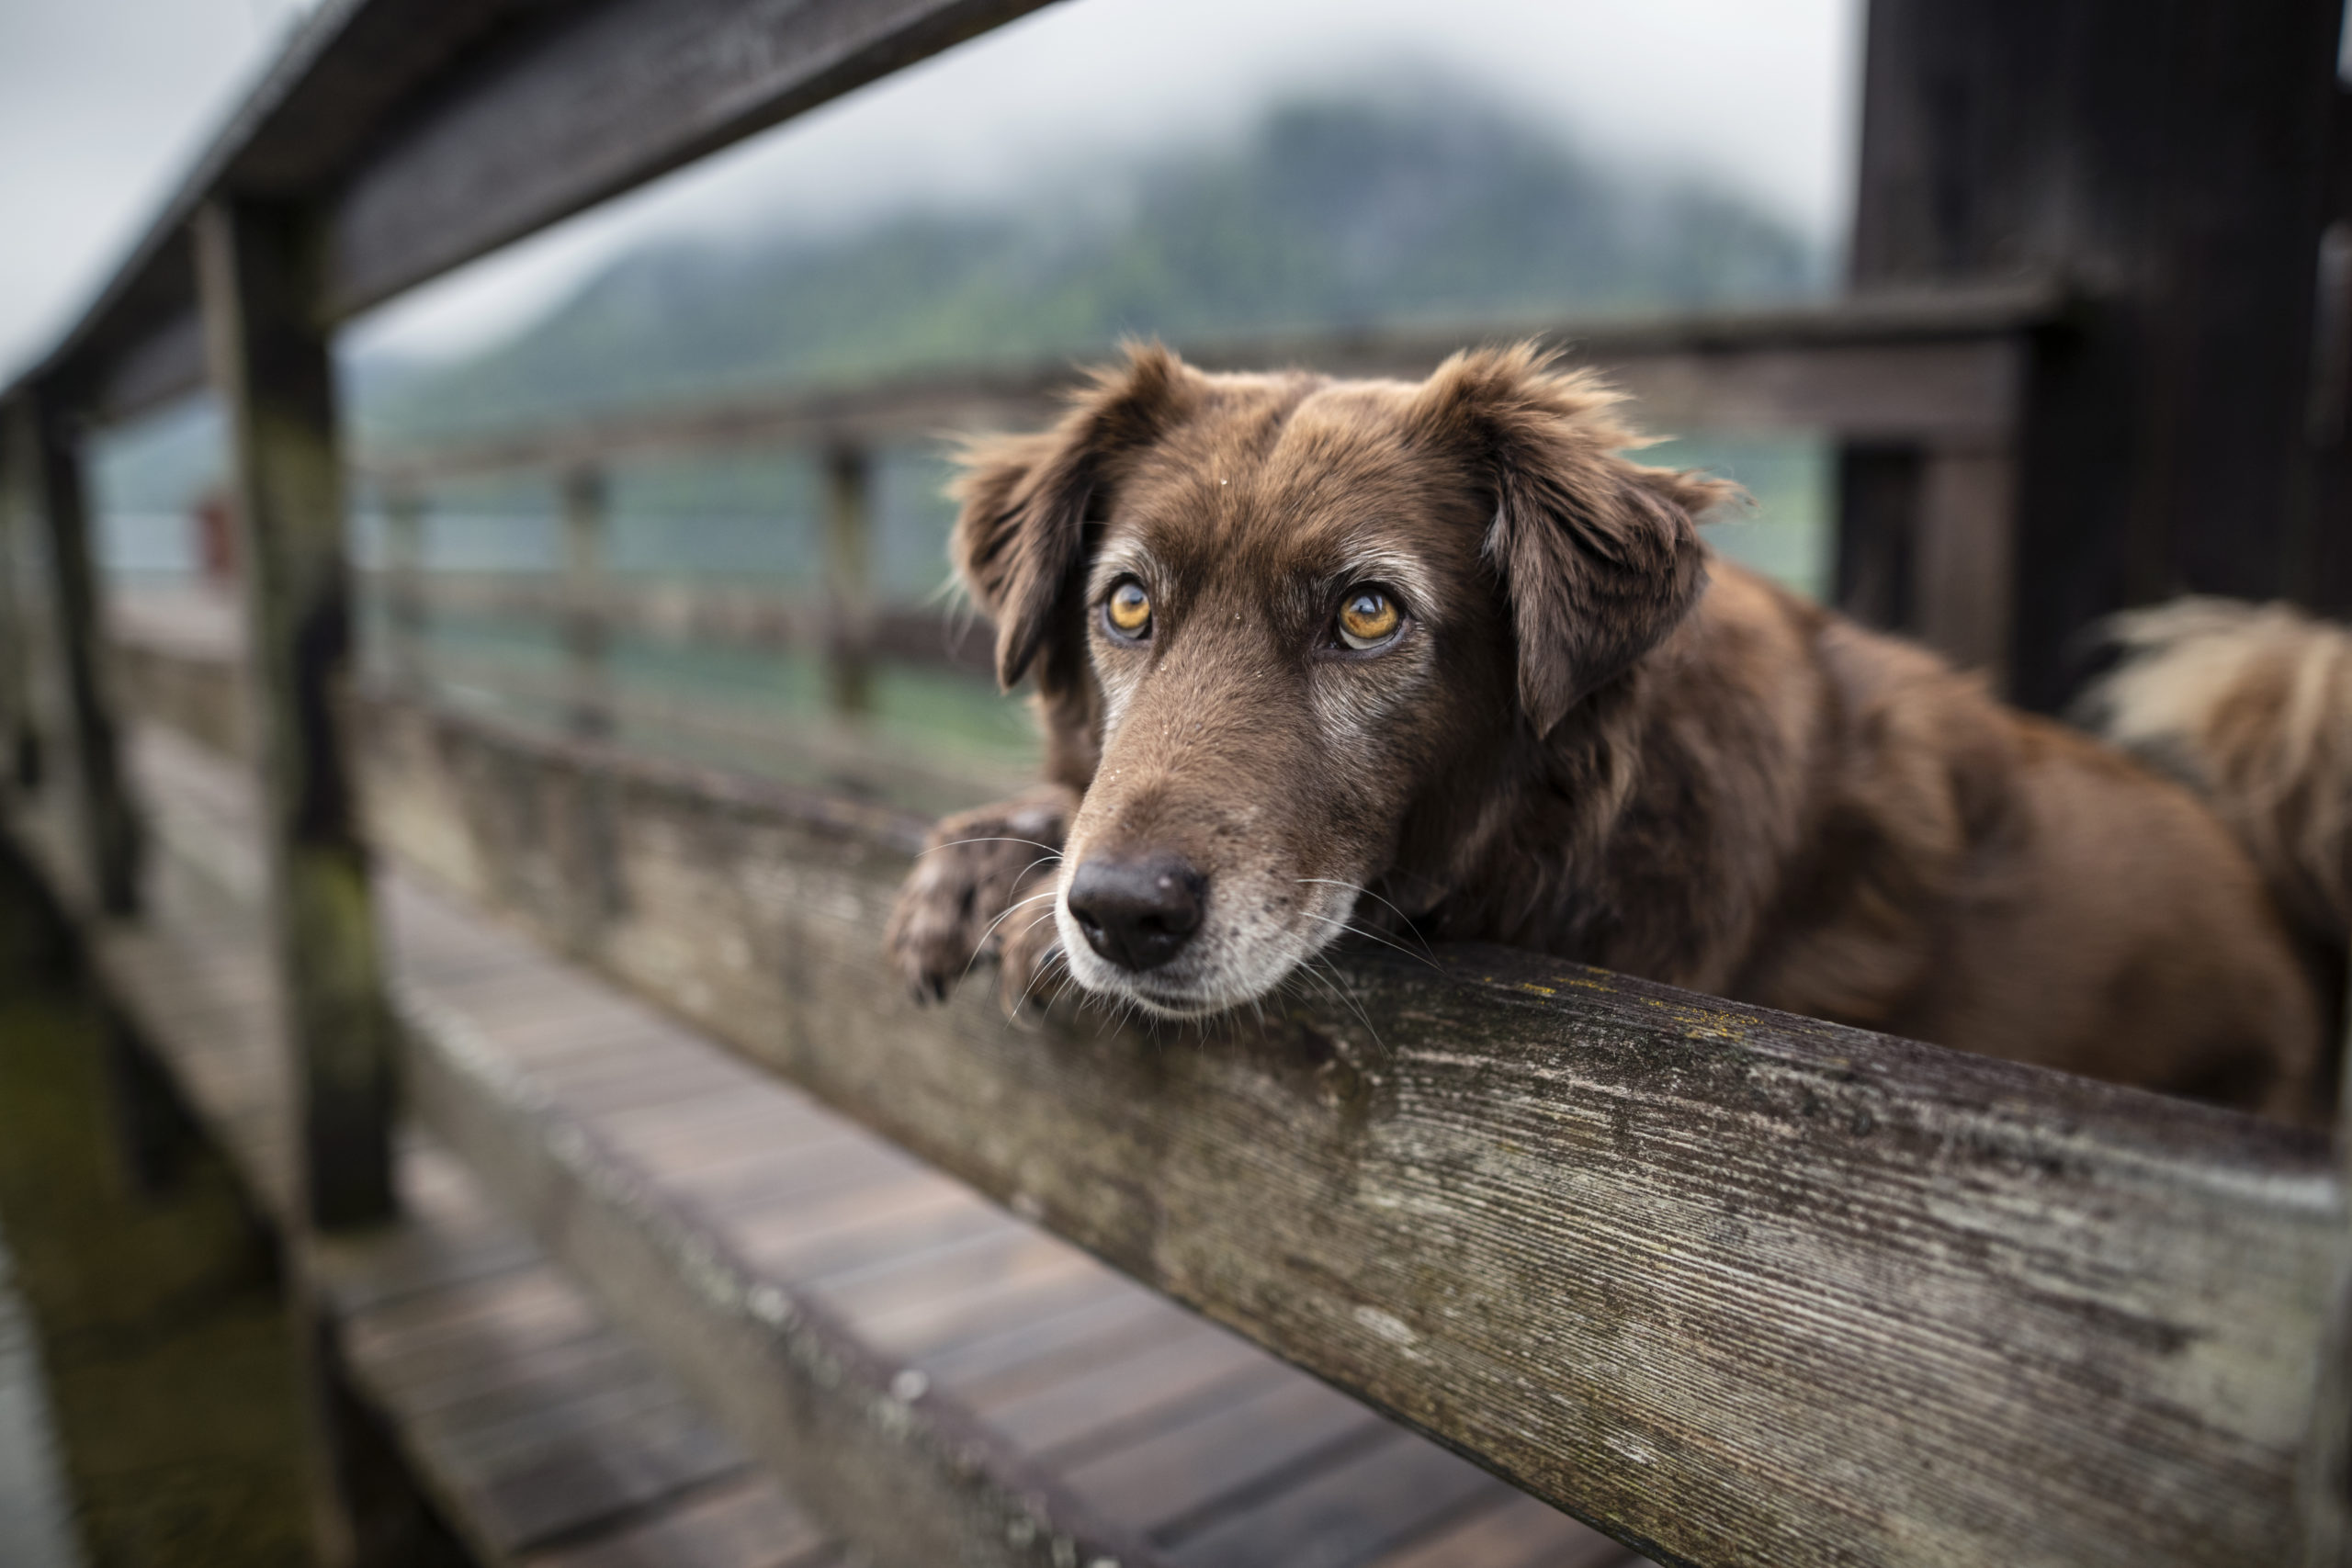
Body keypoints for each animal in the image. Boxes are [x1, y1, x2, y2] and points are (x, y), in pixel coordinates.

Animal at [884, 345, 2333, 1128]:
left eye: (1367, 612)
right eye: (1128, 604)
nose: (1119, 913)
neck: (1581, 819)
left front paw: (1029, 914)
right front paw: (988, 859)